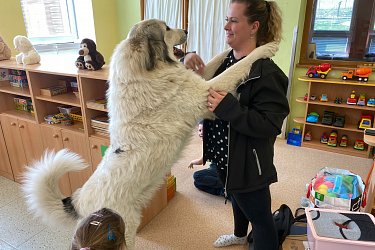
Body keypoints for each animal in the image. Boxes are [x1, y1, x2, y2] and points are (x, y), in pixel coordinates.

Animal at [21, 18, 280, 249]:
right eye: (167, 28)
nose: (186, 29)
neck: (147, 70)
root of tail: (77, 201)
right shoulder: (206, 93)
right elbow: (238, 66)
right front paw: (267, 46)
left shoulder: (199, 82)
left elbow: (219, 60)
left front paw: (235, 48)